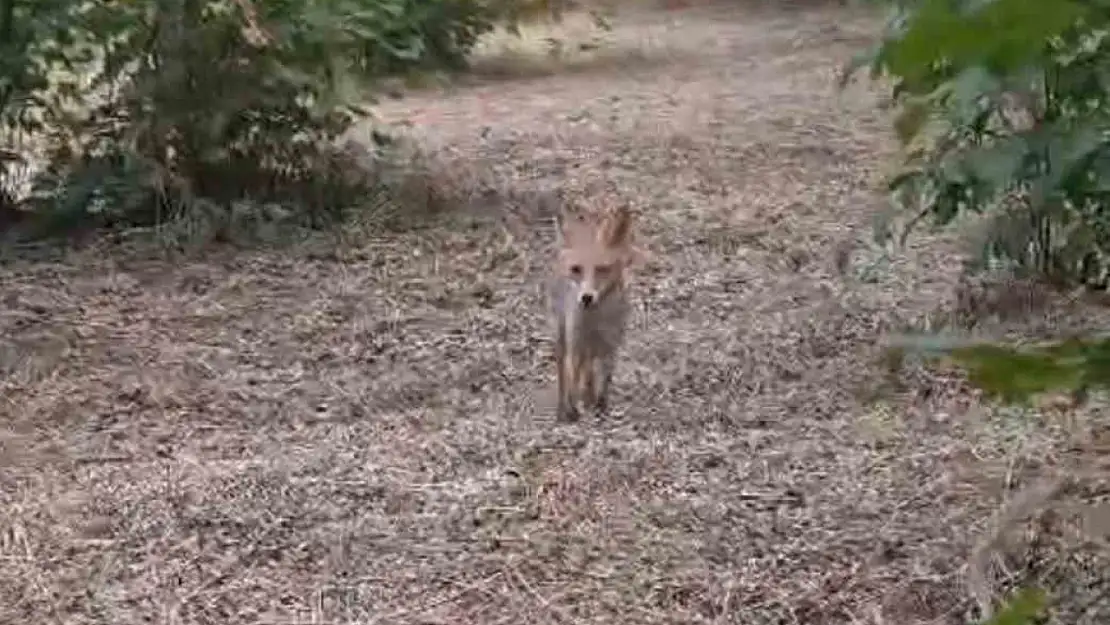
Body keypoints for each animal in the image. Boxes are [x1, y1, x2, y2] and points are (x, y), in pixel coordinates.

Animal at [550, 203, 648, 424]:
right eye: (576, 269)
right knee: (564, 373)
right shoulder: (576, 345)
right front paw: (572, 411)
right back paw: (564, 408)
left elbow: (604, 382)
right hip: (563, 334)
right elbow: (573, 381)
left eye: (602, 269)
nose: (587, 297)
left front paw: (600, 407)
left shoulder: (610, 347)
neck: (596, 323)